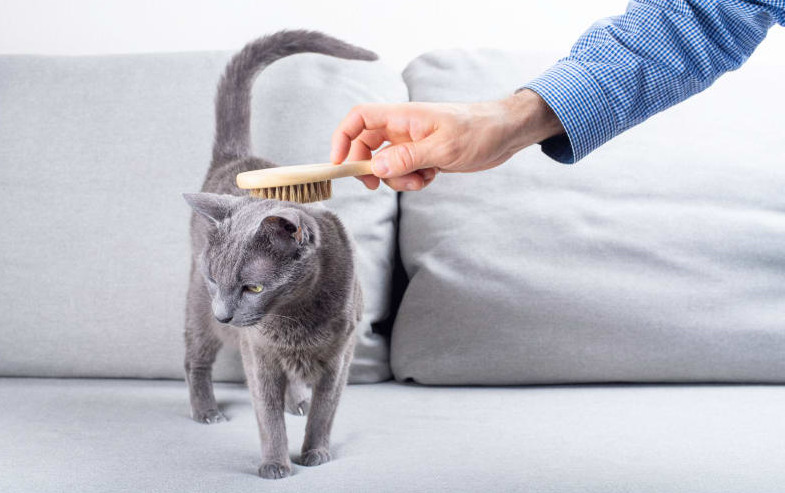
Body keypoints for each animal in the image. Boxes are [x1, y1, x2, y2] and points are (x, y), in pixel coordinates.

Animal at [182, 29, 376, 476]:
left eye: (253, 288)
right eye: (216, 280)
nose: (225, 315)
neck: (293, 318)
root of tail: (239, 159)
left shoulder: (339, 358)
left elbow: (326, 410)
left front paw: (315, 454)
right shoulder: (258, 354)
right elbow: (266, 415)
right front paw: (275, 465)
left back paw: (296, 402)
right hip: (197, 308)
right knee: (195, 358)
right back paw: (207, 411)